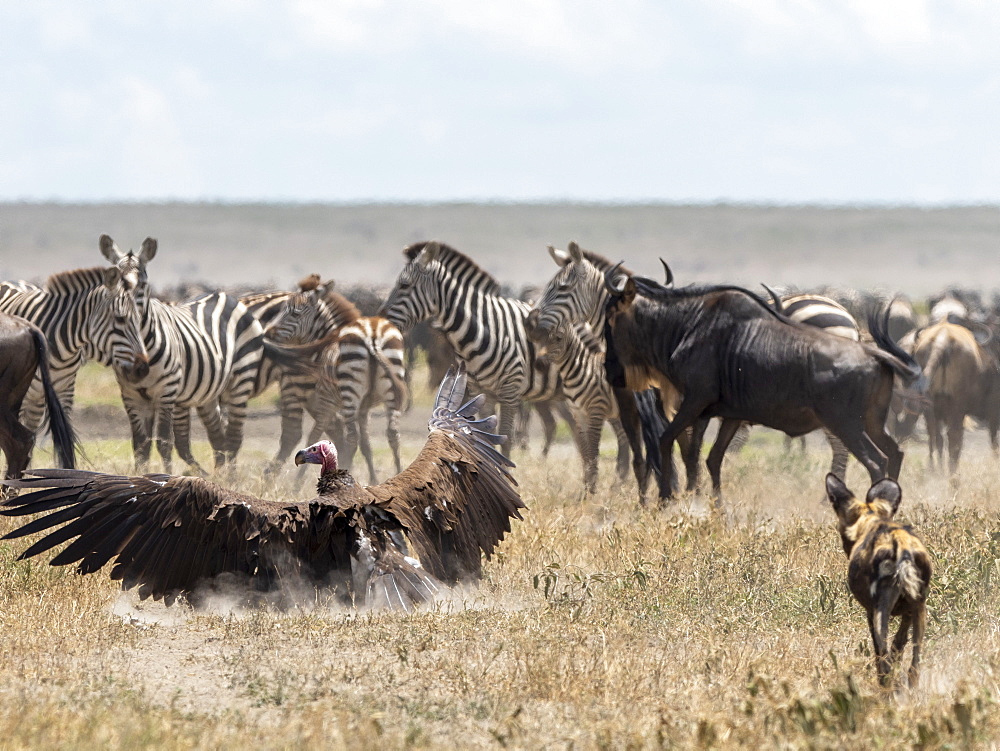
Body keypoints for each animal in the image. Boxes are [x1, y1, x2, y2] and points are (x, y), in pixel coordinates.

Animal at [378, 238, 628, 490]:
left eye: (404, 285)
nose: (381, 319)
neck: (484, 330)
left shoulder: (510, 390)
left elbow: (506, 440)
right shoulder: (482, 393)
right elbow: (484, 438)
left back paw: (619, 482)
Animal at [824, 476, 932, 688]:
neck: (872, 519)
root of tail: (901, 545)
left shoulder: (870, 611)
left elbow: (881, 656)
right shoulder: (909, 611)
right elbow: (898, 646)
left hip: (880, 611)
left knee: (884, 660)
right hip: (920, 607)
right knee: (914, 667)